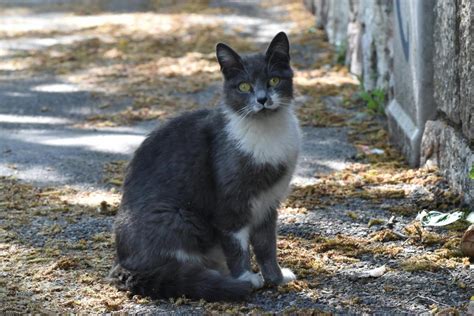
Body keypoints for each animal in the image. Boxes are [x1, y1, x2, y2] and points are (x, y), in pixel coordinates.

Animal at [109, 31, 300, 302]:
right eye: (244, 86)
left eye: (274, 80)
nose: (263, 99)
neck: (266, 132)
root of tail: (122, 262)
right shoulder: (231, 203)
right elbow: (236, 244)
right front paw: (245, 277)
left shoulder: (267, 203)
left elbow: (266, 246)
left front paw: (277, 278)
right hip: (176, 218)